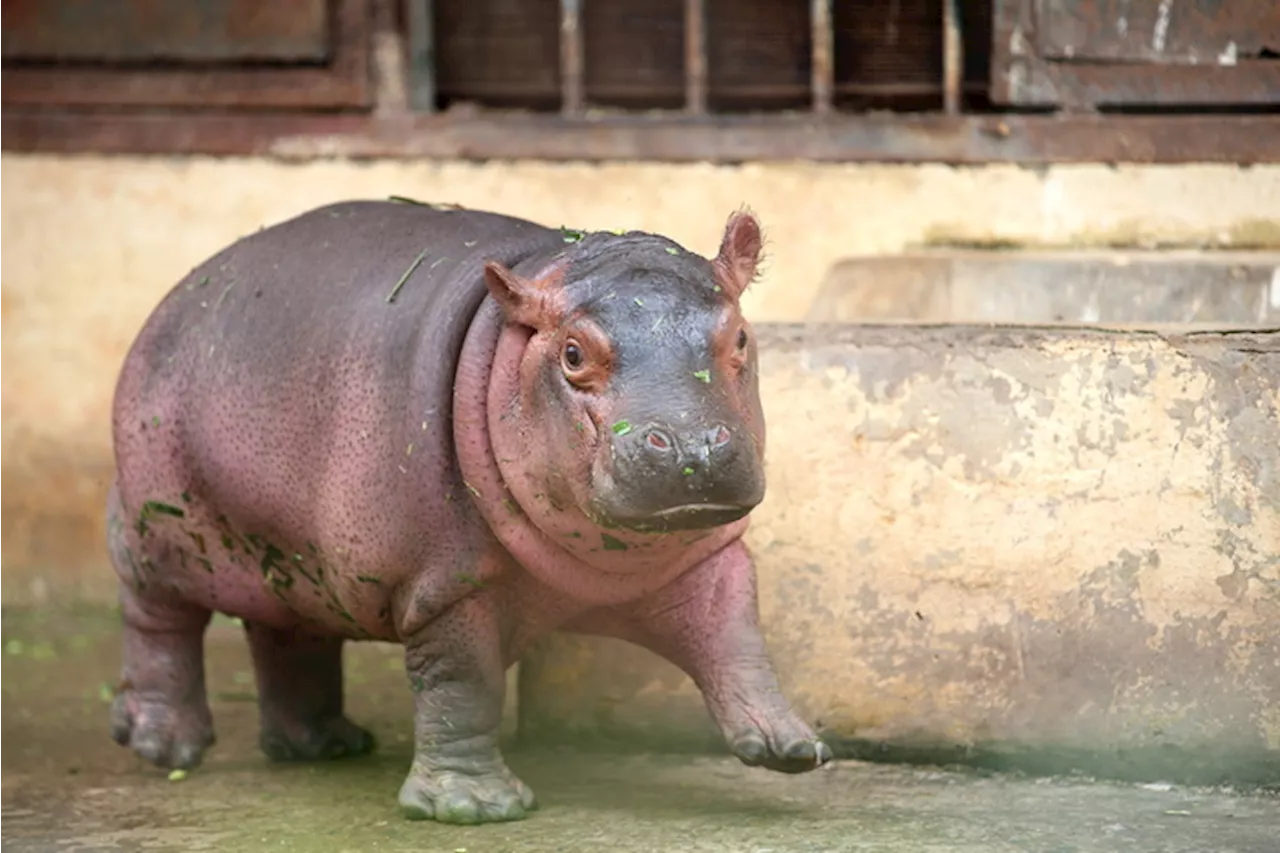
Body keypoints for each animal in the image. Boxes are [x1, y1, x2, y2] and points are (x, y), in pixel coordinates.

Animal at [107, 195, 829, 819]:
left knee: (286, 634)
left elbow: (734, 634)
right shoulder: (446, 584)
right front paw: (474, 807)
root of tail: (180, 291)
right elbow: (461, 686)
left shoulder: (706, 551)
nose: (690, 445)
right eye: (572, 353)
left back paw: (326, 745)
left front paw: (791, 746)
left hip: (293, 556)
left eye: (741, 338)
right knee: (157, 620)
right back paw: (164, 744)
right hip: (157, 531)